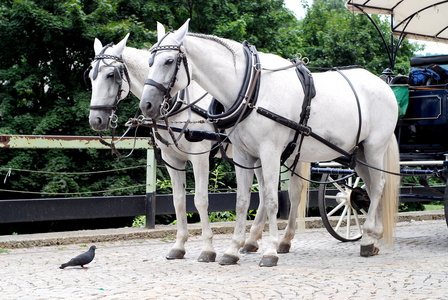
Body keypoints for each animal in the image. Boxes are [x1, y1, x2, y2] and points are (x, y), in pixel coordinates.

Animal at [86, 31, 310, 264]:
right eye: (91, 76)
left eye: (111, 75)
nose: (96, 119)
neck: (177, 101)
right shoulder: (172, 160)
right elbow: (178, 201)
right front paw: (179, 246)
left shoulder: (199, 156)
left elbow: (200, 200)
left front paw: (207, 249)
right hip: (255, 156)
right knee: (265, 194)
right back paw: (251, 241)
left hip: (288, 154)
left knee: (294, 192)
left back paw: (284, 240)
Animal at [140, 19, 400, 266]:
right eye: (150, 61)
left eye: (169, 60)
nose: (147, 105)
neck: (252, 90)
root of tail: (384, 85)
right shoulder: (243, 155)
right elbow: (242, 201)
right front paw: (232, 250)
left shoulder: (269, 152)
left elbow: (272, 200)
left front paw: (270, 251)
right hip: (358, 154)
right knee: (369, 186)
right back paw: (375, 237)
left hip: (374, 149)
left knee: (378, 186)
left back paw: (367, 239)